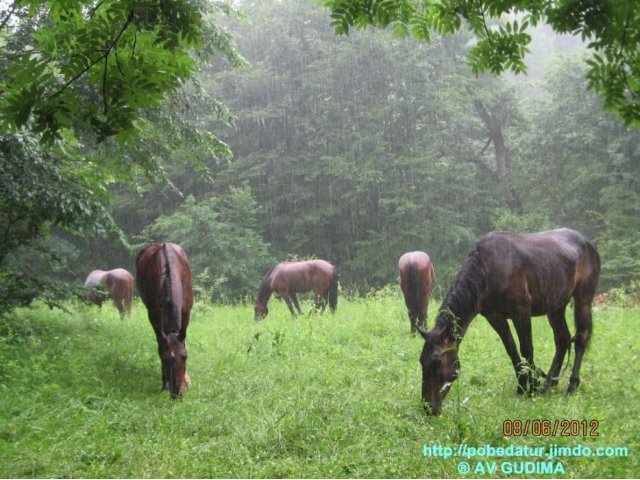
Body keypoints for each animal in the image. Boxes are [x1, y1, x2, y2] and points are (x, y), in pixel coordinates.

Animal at [136, 244, 194, 398]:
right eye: (165, 359)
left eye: (185, 357)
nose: (177, 394)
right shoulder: (153, 315)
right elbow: (160, 344)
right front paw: (165, 385)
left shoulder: (186, 312)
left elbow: (183, 341)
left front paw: (186, 381)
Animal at [418, 229, 604, 416]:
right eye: (422, 361)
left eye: (437, 361)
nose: (428, 407)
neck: (488, 269)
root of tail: (587, 243)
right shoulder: (495, 318)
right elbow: (511, 349)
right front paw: (522, 387)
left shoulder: (521, 313)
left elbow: (526, 349)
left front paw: (532, 388)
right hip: (556, 306)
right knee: (562, 339)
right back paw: (548, 384)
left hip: (583, 299)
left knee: (580, 339)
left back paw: (571, 386)